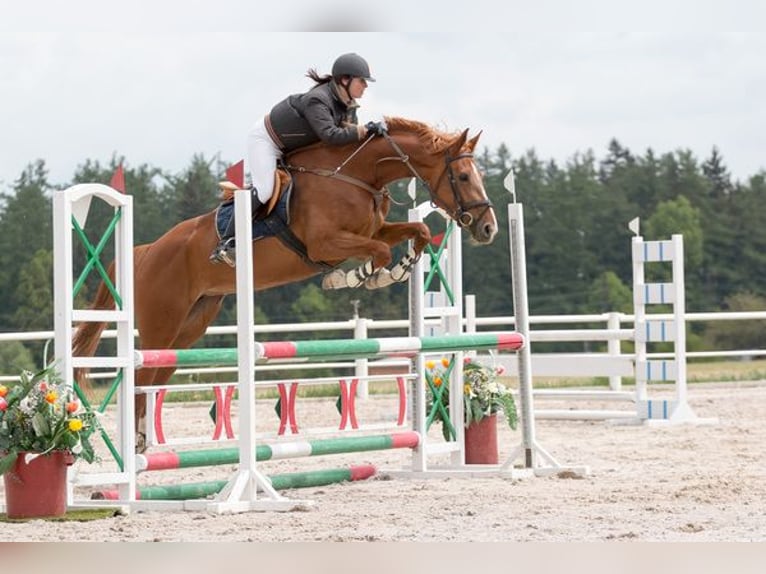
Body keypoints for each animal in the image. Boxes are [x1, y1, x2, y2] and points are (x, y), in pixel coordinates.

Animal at [72, 116, 498, 450]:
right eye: (462, 176)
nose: (488, 228)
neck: (356, 175)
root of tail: (144, 252)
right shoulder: (326, 244)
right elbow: (376, 252)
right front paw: (355, 278)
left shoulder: (372, 229)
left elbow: (418, 231)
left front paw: (403, 266)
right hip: (162, 324)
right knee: (138, 377)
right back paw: (133, 448)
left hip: (190, 326)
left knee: (153, 380)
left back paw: (144, 443)